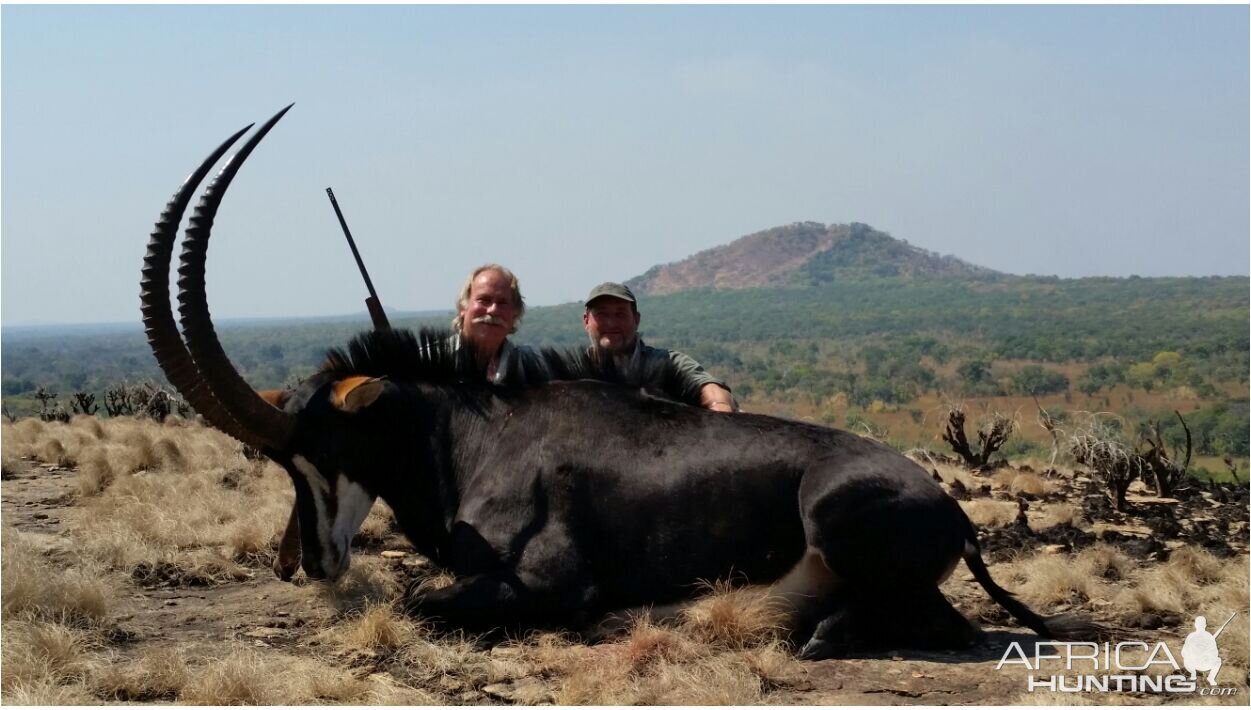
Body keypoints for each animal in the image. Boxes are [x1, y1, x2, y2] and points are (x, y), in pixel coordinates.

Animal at [141, 106, 1100, 660]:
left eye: (319, 446)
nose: (306, 564)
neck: (472, 431)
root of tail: (949, 509)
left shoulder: (548, 583)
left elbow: (423, 602)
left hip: (836, 523)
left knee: (926, 626)